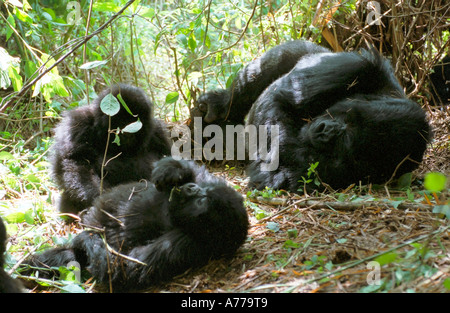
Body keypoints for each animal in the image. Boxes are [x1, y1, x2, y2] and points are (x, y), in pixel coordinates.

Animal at [22, 157, 250, 292]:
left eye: (203, 201)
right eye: (204, 191)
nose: (193, 188)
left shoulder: (185, 243)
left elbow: (121, 269)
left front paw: (89, 239)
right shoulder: (213, 182)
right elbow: (196, 169)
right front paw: (173, 170)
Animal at [51, 83, 171, 214]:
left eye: (135, 120)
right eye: (121, 120)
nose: (127, 133)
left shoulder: (157, 131)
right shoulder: (78, 123)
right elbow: (76, 161)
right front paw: (97, 198)